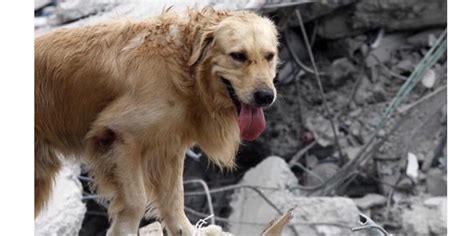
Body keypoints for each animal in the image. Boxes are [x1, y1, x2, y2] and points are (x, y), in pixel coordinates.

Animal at [36, 6, 278, 234]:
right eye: (238, 56)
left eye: (270, 56)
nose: (266, 96)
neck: (183, 69)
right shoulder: (120, 138)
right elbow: (136, 201)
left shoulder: (170, 148)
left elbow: (174, 200)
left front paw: (189, 231)